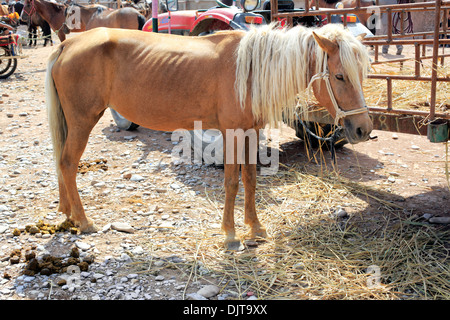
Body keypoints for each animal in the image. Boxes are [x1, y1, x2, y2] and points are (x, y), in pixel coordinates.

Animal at [45, 23, 372, 249]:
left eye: (361, 74)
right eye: (339, 75)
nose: (363, 129)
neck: (249, 71)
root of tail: (68, 43)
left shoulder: (250, 133)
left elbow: (251, 181)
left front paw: (255, 228)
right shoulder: (232, 134)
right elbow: (231, 183)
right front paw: (231, 235)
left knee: (61, 163)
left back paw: (67, 214)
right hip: (82, 120)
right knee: (68, 164)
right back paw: (83, 221)